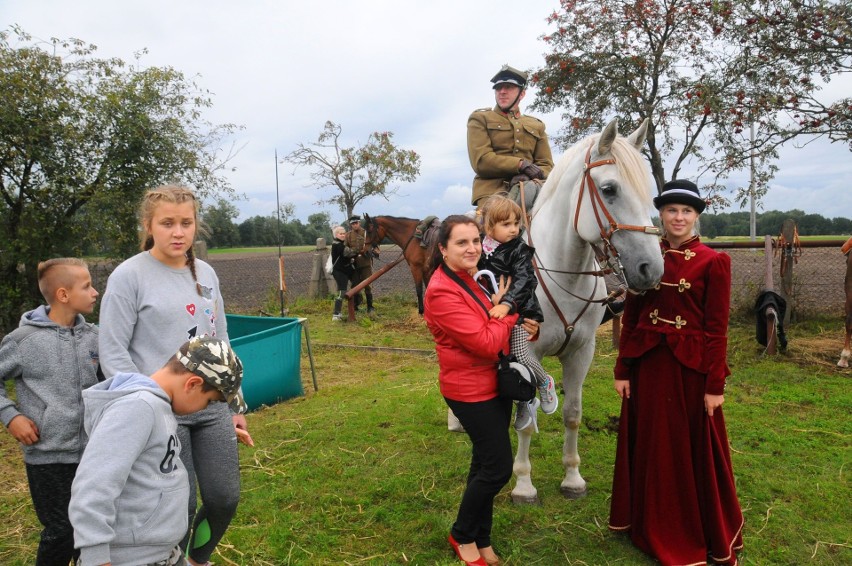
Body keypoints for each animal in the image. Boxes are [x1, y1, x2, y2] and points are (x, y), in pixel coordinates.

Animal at [510, 118, 668, 502]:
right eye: (609, 189)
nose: (651, 269)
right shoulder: (528, 352)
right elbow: (527, 418)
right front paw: (523, 484)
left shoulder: (582, 352)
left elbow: (572, 413)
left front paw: (572, 478)